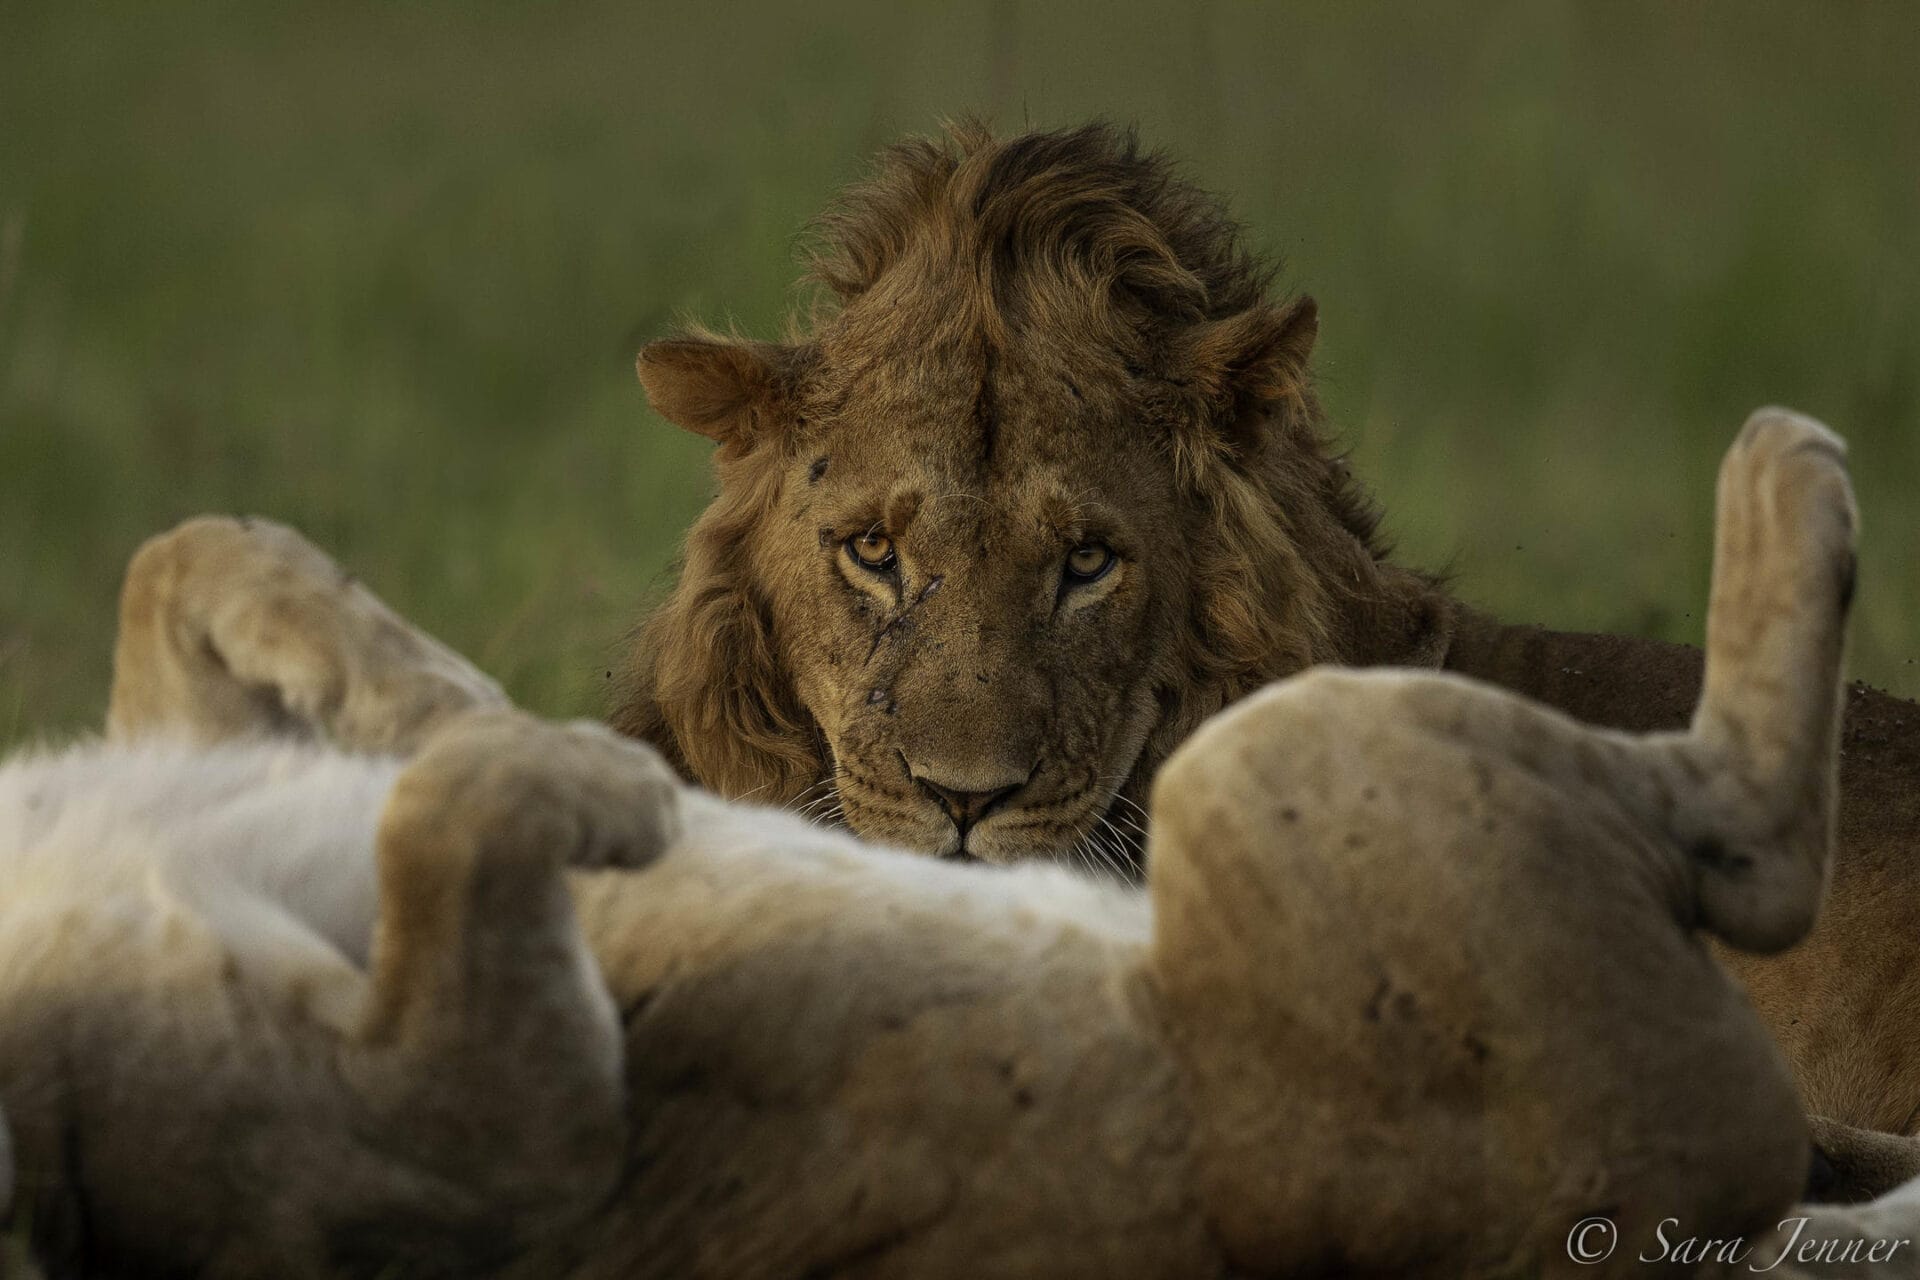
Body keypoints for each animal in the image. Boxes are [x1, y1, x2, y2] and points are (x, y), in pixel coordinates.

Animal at [3, 414, 1918, 1276]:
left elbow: (170, 562)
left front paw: (381, 660)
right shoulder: (450, 1137)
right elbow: (461, 848)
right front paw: (583, 773)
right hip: (1292, 766)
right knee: (1754, 834)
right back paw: (1791, 463)